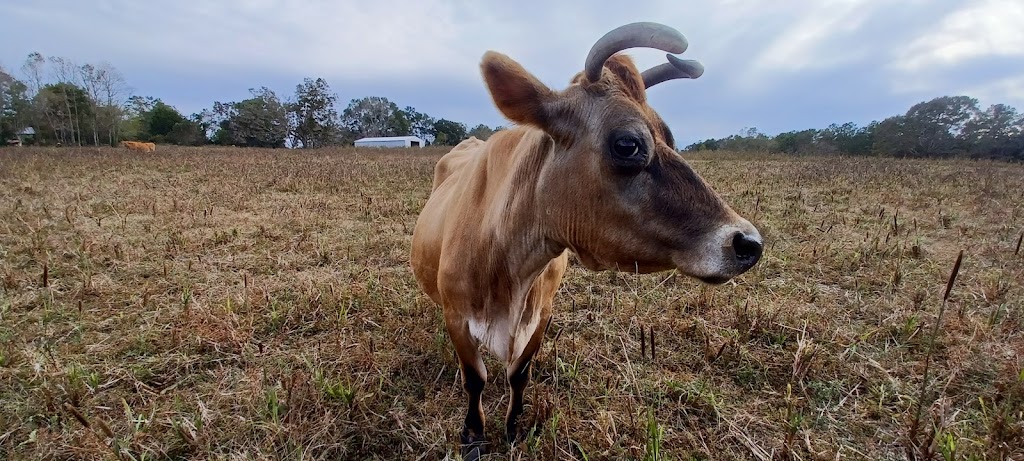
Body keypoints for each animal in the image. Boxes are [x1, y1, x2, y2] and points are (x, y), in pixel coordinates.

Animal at [407, 21, 761, 456]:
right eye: (628, 144)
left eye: (670, 138)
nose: (748, 243)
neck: (507, 262)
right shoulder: (457, 317)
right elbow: (475, 378)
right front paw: (474, 436)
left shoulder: (541, 315)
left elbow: (519, 374)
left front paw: (514, 426)